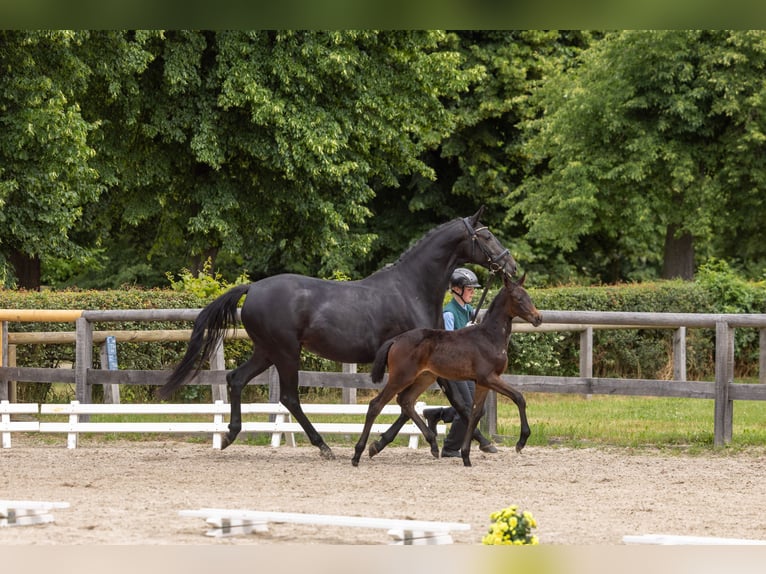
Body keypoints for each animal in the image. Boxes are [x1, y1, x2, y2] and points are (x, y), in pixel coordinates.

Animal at [159, 207, 517, 459]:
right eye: (486, 236)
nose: (510, 266)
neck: (411, 289)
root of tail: (254, 288)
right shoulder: (420, 361)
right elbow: (442, 400)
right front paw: (481, 443)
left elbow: (415, 404)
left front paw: (382, 444)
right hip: (286, 352)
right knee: (289, 397)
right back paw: (323, 446)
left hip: (266, 351)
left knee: (236, 379)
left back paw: (230, 435)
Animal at [352, 272, 542, 468]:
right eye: (518, 298)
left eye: (528, 296)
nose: (538, 318)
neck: (489, 337)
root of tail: (396, 340)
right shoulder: (489, 377)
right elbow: (519, 397)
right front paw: (521, 441)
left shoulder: (482, 383)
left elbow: (475, 414)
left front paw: (466, 456)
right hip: (400, 377)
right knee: (376, 405)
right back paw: (358, 454)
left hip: (424, 378)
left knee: (406, 401)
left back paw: (432, 444)